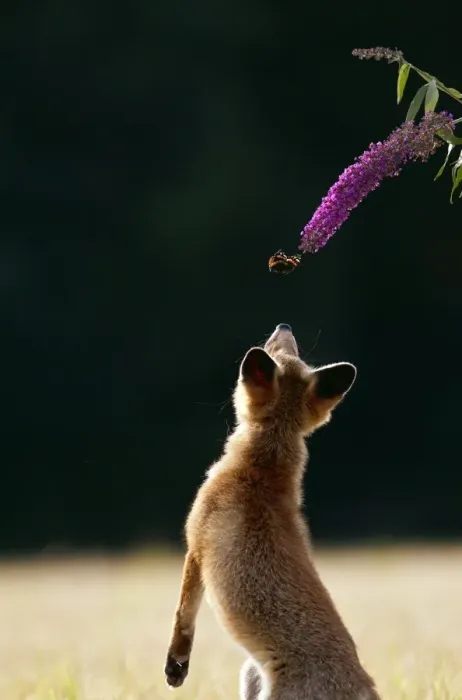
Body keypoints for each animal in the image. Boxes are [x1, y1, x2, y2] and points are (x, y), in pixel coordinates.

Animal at [164, 323, 380, 700]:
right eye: (283, 350)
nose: (284, 327)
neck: (261, 469)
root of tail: (362, 683)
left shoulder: (196, 546)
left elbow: (183, 616)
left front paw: (176, 665)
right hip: (250, 674)